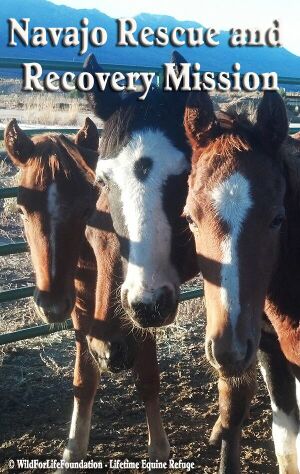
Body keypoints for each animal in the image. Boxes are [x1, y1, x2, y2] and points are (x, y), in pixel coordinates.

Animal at [4, 119, 170, 466]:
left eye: (84, 209)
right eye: (22, 209)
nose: (52, 305)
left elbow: (147, 377)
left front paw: (159, 447)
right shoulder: (81, 306)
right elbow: (84, 379)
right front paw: (74, 448)